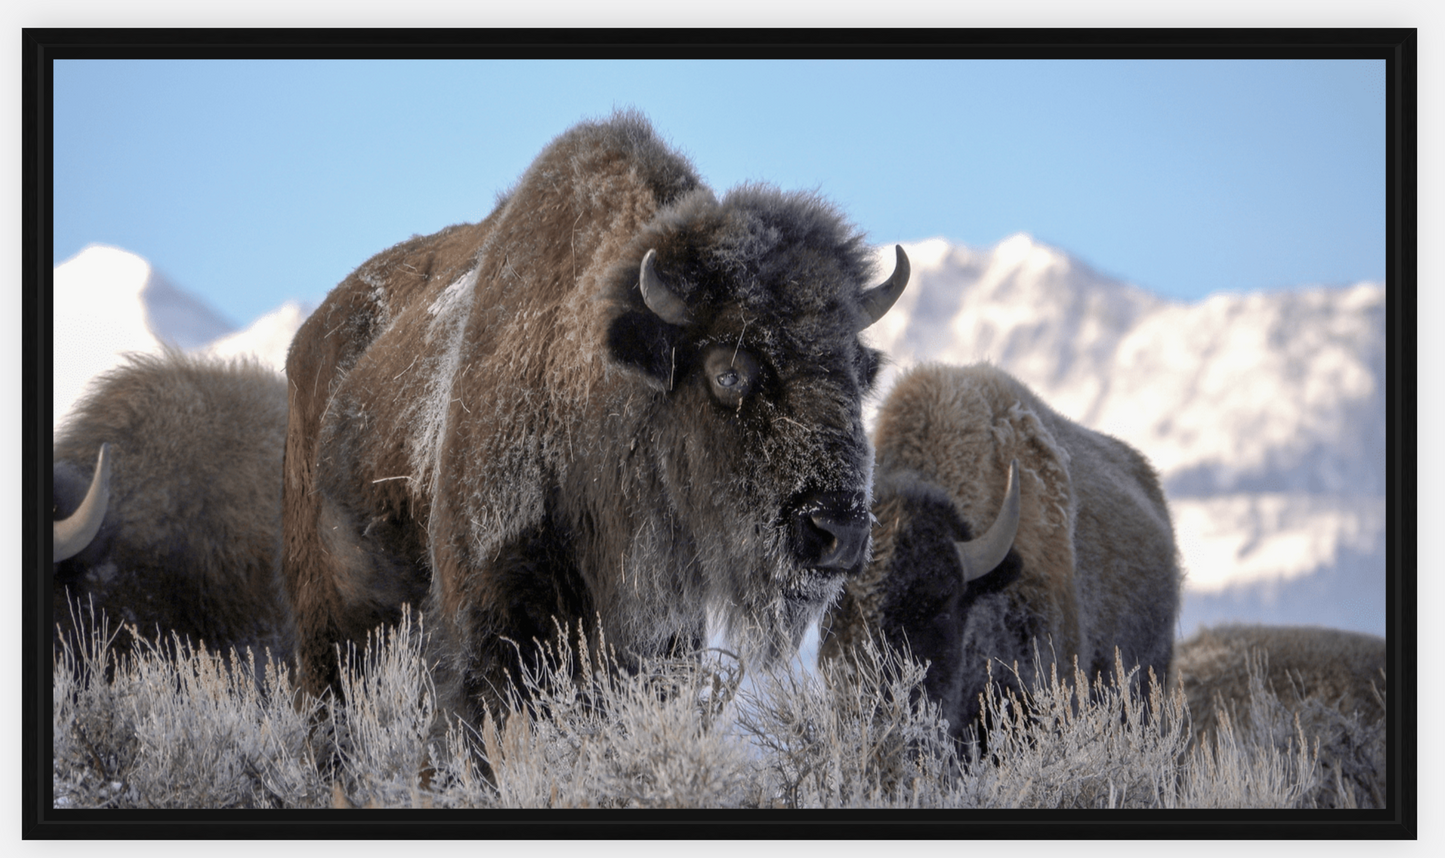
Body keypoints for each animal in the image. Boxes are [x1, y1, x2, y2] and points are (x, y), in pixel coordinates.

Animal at [280, 108, 907, 722]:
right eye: (728, 371)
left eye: (862, 370)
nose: (839, 531)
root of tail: (304, 348)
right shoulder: (485, 634)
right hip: (331, 629)